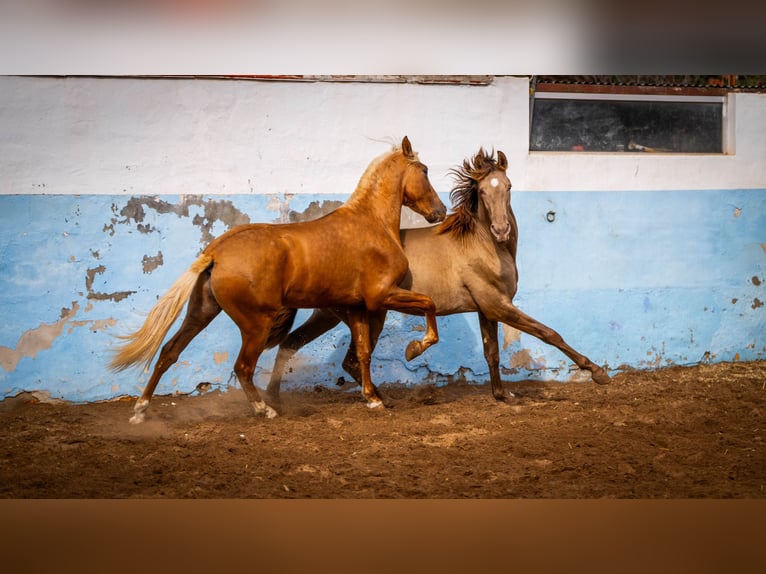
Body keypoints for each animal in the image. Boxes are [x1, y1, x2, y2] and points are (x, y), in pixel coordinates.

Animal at [110, 136, 447, 423]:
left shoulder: (357, 307)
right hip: (256, 324)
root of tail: (216, 252)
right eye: (425, 171)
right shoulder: (382, 296)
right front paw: (415, 348)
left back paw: (140, 411)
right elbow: (429, 305)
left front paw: (373, 399)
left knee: (169, 352)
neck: (372, 224)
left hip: (201, 312)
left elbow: (362, 354)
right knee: (243, 367)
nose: (440, 211)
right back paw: (265, 409)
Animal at [265, 148, 611, 406]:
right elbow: (549, 333)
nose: (501, 230)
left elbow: (492, 353)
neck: (483, 246)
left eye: (508, 186)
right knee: (345, 358)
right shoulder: (498, 305)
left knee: (293, 344)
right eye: (482, 190)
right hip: (367, 314)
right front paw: (597, 373)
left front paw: (502, 395)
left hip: (329, 313)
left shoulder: (487, 310)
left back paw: (275, 400)